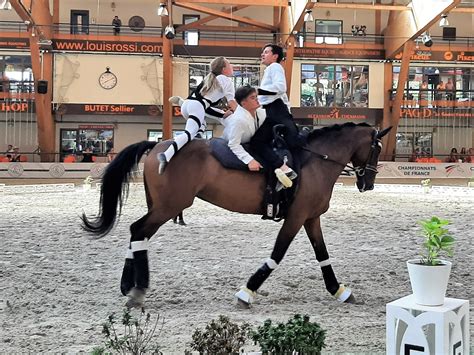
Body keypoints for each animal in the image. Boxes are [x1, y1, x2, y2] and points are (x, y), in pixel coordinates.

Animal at [81, 123, 390, 308]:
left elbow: (322, 255)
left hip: (160, 207)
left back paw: (128, 285)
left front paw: (339, 290)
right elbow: (277, 255)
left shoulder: (311, 218)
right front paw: (247, 291)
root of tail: (158, 144)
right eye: (376, 149)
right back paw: (138, 288)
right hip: (167, 207)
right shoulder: (296, 217)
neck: (315, 161)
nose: (369, 183)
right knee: (138, 231)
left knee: (137, 233)